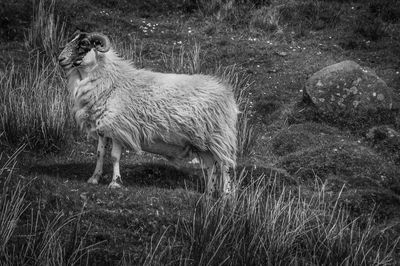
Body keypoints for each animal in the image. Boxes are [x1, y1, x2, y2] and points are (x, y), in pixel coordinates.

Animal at [56, 31, 238, 196]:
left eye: (84, 44)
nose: (60, 59)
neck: (111, 81)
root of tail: (226, 92)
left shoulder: (118, 127)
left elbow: (114, 156)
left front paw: (115, 183)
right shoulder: (102, 126)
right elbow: (100, 154)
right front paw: (94, 178)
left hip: (219, 136)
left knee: (225, 165)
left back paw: (226, 194)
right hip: (203, 142)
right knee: (211, 165)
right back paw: (209, 193)